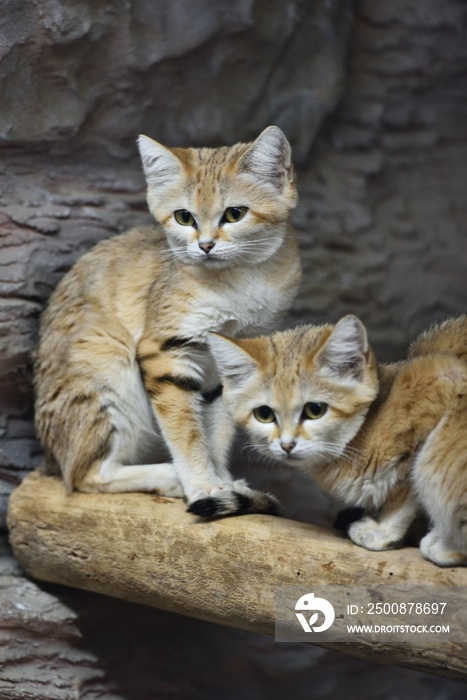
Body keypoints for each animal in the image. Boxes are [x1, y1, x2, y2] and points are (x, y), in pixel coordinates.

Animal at [34, 129, 302, 516]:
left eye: (235, 214)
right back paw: (169, 476)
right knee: (84, 475)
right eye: (184, 217)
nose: (205, 246)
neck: (238, 283)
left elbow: (216, 432)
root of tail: (50, 459)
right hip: (106, 365)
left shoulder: (233, 365)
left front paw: (222, 480)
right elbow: (186, 432)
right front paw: (203, 484)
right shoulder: (167, 352)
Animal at [210, 314, 467, 568]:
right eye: (264, 414)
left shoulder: (439, 381)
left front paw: (385, 531)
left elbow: (405, 494)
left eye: (315, 410)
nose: (287, 445)